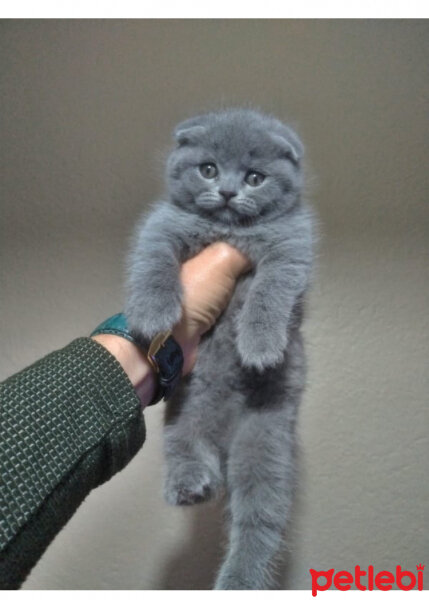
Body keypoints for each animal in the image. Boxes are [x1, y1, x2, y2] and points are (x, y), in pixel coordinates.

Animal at [125, 109, 312, 592]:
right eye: (208, 169)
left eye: (255, 177)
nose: (227, 191)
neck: (228, 230)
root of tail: (227, 441)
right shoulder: (162, 225)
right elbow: (152, 262)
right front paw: (153, 312)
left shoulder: (291, 250)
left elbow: (269, 292)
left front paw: (260, 345)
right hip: (185, 414)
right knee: (186, 448)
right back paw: (191, 486)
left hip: (266, 438)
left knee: (259, 518)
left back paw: (239, 581)